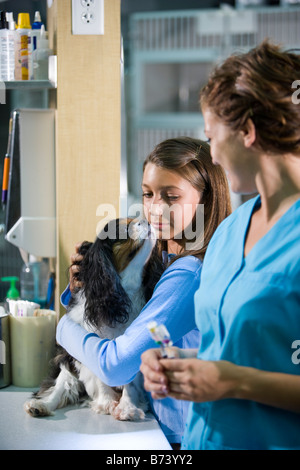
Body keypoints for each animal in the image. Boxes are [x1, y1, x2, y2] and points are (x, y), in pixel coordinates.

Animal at [24, 218, 163, 420]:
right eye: (123, 229)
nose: (145, 220)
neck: (124, 293)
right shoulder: (88, 346)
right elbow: (99, 378)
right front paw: (106, 402)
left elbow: (130, 381)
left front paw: (127, 407)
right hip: (66, 361)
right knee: (59, 388)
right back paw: (40, 406)